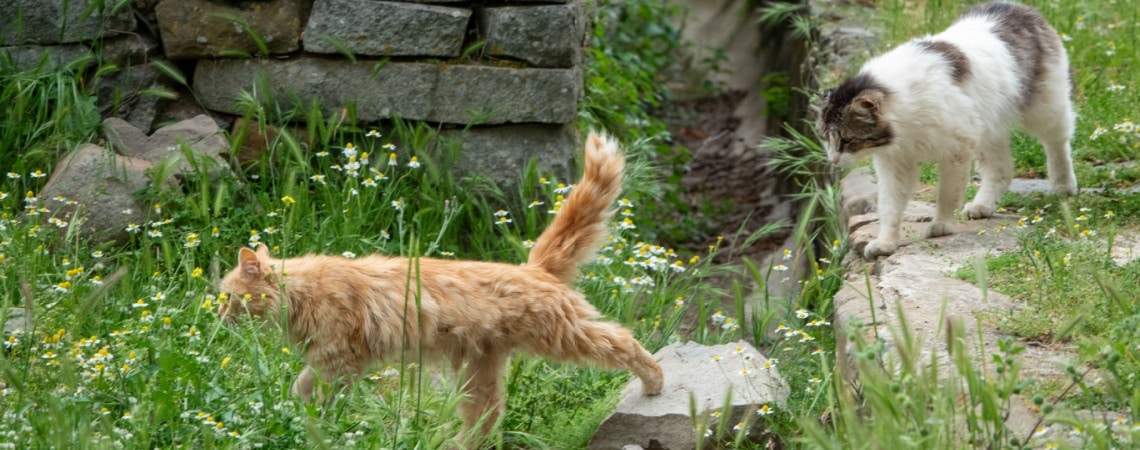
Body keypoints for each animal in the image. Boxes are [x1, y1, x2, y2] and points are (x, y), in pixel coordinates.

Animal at [217, 133, 665, 444]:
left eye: (229, 297)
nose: (217, 316)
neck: (302, 292)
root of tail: (533, 268)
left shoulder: (337, 362)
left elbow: (306, 391)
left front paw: (299, 420)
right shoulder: (337, 364)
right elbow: (302, 391)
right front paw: (289, 416)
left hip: (563, 336)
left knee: (624, 340)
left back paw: (655, 382)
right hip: (478, 374)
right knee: (485, 421)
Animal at [820, 1, 1076, 258]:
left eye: (846, 140)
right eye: (825, 138)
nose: (832, 160)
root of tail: (1014, 6)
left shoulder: (957, 149)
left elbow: (947, 193)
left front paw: (941, 225)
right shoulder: (895, 163)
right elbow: (889, 206)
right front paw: (885, 243)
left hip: (1045, 109)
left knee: (1057, 143)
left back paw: (1064, 186)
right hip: (988, 130)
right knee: (1001, 169)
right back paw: (983, 205)